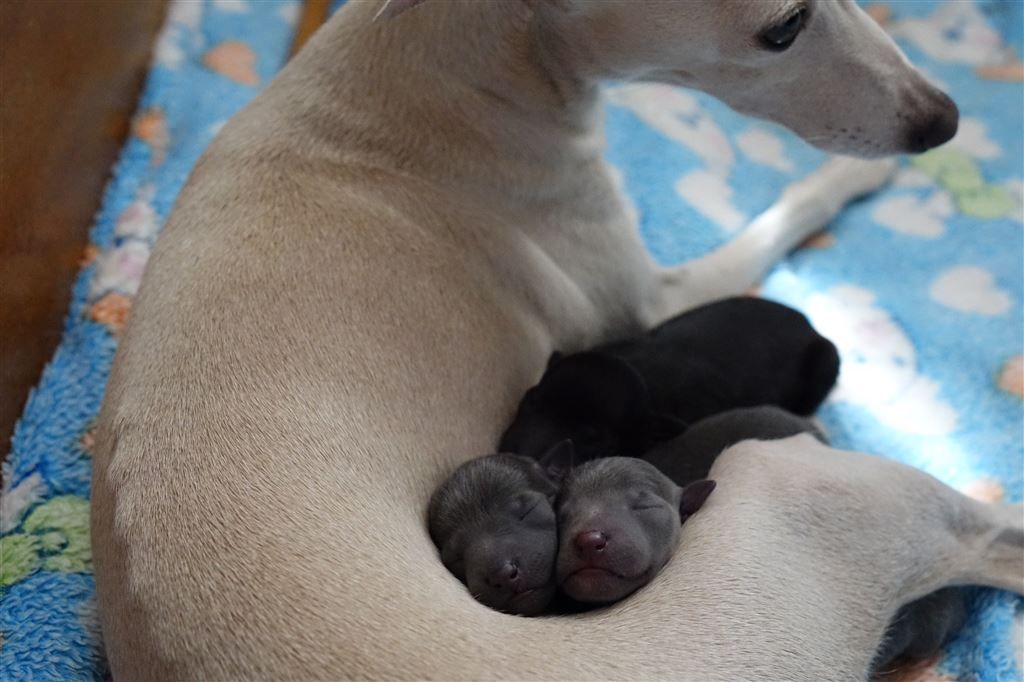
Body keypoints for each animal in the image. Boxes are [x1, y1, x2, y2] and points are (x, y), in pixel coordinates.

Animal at [497, 296, 839, 462]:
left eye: (591, 437)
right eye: (530, 400)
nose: (521, 454)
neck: (642, 372)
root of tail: (807, 322)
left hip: (827, 361)